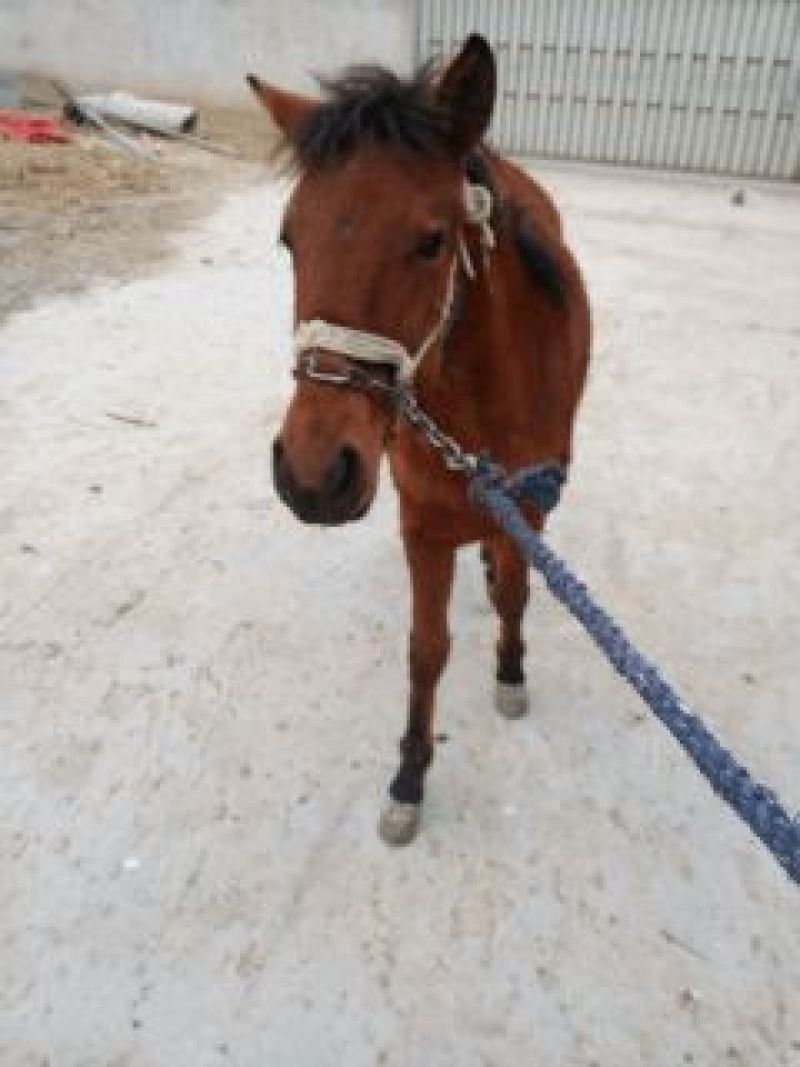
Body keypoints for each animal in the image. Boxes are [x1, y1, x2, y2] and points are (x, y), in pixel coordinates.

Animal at [248, 34, 591, 845]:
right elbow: (425, 650)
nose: (312, 476)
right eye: (288, 238)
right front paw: (409, 776)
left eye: (432, 241)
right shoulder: (424, 525)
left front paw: (510, 672)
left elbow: (518, 593)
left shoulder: (530, 506)